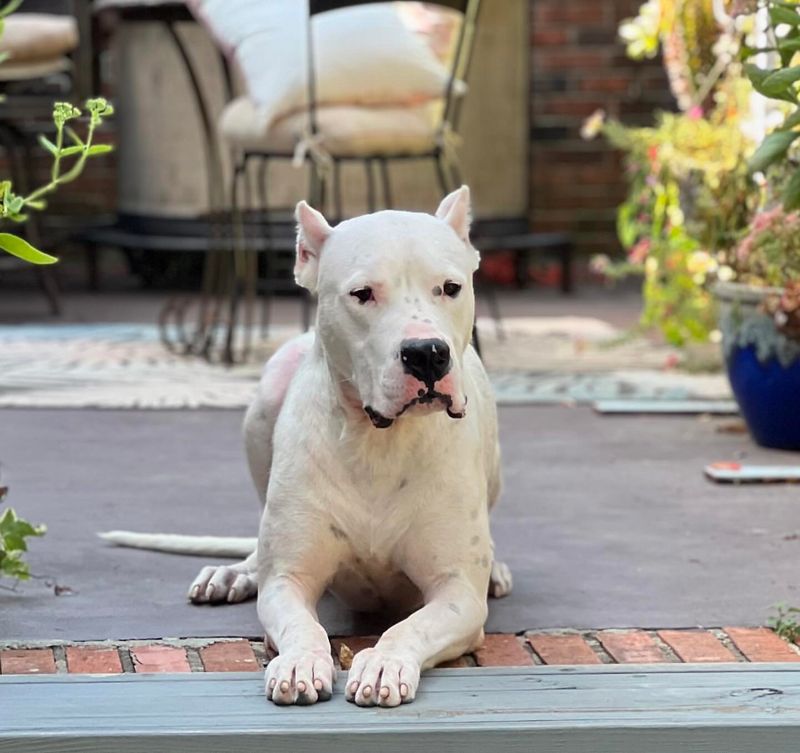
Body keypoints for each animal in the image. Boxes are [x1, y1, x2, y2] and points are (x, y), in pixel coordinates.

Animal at [101, 188, 512, 704]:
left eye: (450, 287)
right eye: (363, 294)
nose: (426, 354)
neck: (378, 441)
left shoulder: (457, 594)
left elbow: (409, 627)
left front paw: (385, 662)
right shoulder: (289, 580)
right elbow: (302, 624)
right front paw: (300, 662)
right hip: (269, 389)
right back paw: (238, 572)